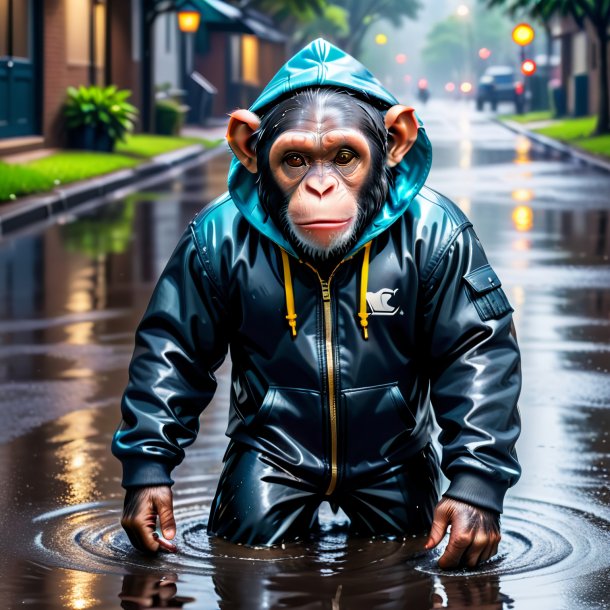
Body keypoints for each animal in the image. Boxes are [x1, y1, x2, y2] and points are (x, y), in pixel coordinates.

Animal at [113, 40, 516, 568]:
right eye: (296, 160)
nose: (320, 187)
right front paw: (147, 492)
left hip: (395, 477)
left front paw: (472, 508)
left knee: (398, 513)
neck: (327, 270)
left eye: (344, 157)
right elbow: (176, 347)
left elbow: (473, 348)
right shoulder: (200, 242)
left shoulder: (453, 239)